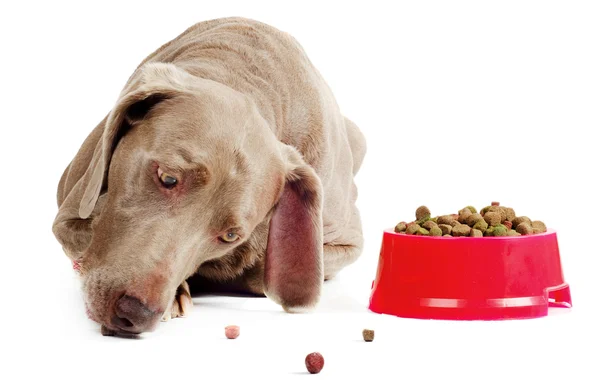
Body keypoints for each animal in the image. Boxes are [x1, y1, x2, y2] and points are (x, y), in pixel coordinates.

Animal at [52, 17, 366, 336]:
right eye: (167, 178)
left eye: (230, 235)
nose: (135, 313)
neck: (243, 75)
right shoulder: (70, 213)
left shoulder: (347, 242)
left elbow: (261, 271)